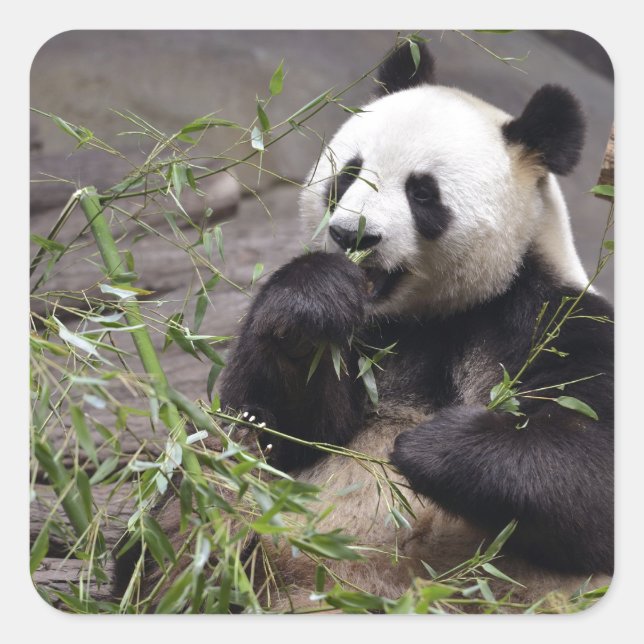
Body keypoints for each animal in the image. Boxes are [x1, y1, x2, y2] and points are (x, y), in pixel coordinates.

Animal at [116, 42, 613, 611]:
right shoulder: (365, 338)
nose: (352, 236)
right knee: (202, 499)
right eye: (350, 173)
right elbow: (282, 429)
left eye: (423, 193)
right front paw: (311, 302)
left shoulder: (546, 320)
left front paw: (429, 445)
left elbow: (592, 466)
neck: (426, 315)